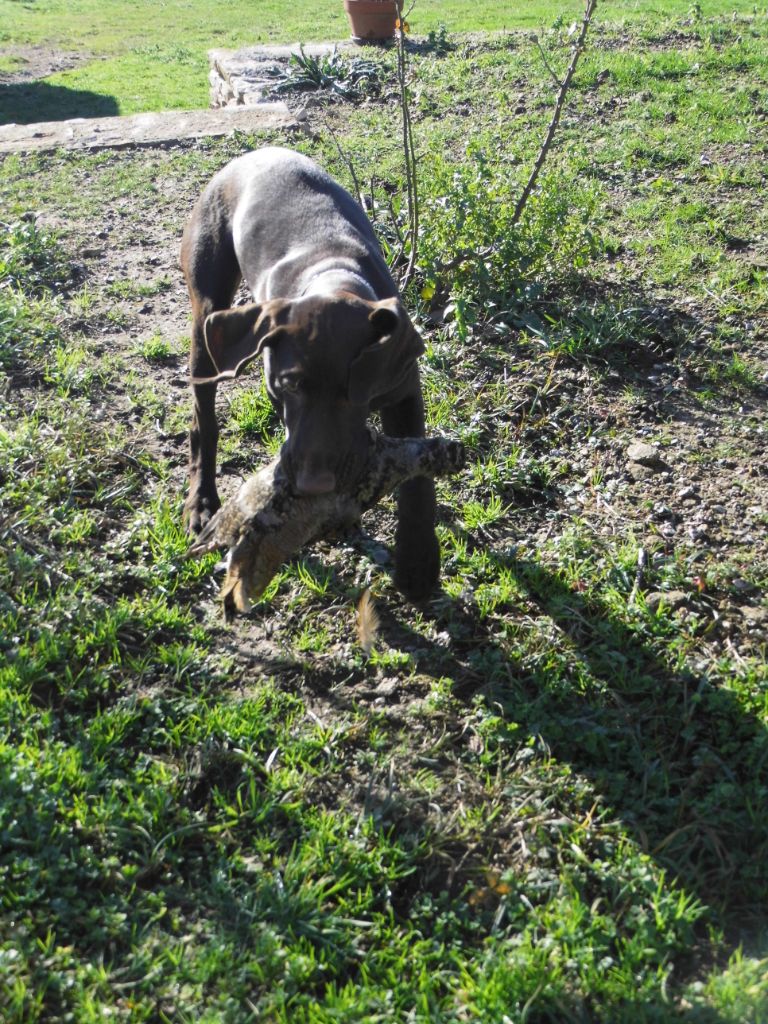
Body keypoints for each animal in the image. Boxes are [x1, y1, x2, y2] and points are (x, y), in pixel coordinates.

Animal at [180, 148, 438, 602]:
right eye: (288, 385)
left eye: (357, 394)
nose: (314, 484)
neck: (332, 275)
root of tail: (249, 155)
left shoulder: (404, 389)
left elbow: (418, 484)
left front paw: (417, 564)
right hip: (206, 316)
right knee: (203, 420)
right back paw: (202, 500)